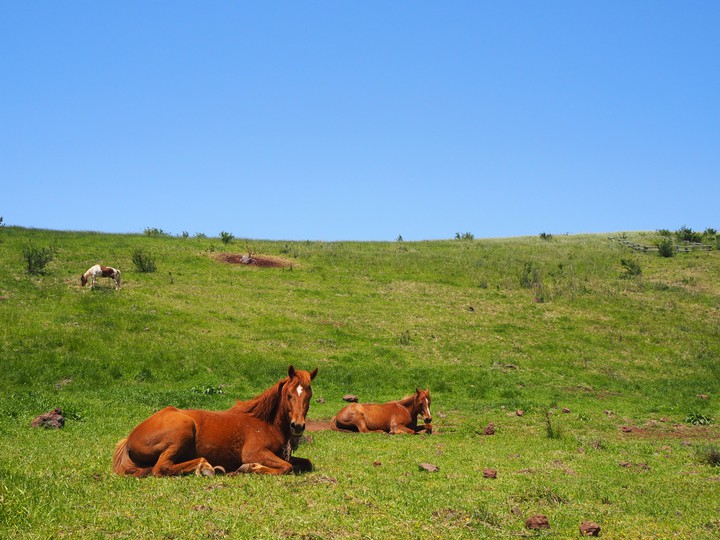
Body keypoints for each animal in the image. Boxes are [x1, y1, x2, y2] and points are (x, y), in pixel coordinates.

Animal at [113, 365, 318, 477]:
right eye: (289, 395)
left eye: (309, 395)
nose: (298, 426)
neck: (265, 423)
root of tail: (129, 439)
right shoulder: (255, 452)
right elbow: (286, 467)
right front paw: (251, 467)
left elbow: (305, 463)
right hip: (183, 431)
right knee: (161, 467)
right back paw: (205, 467)